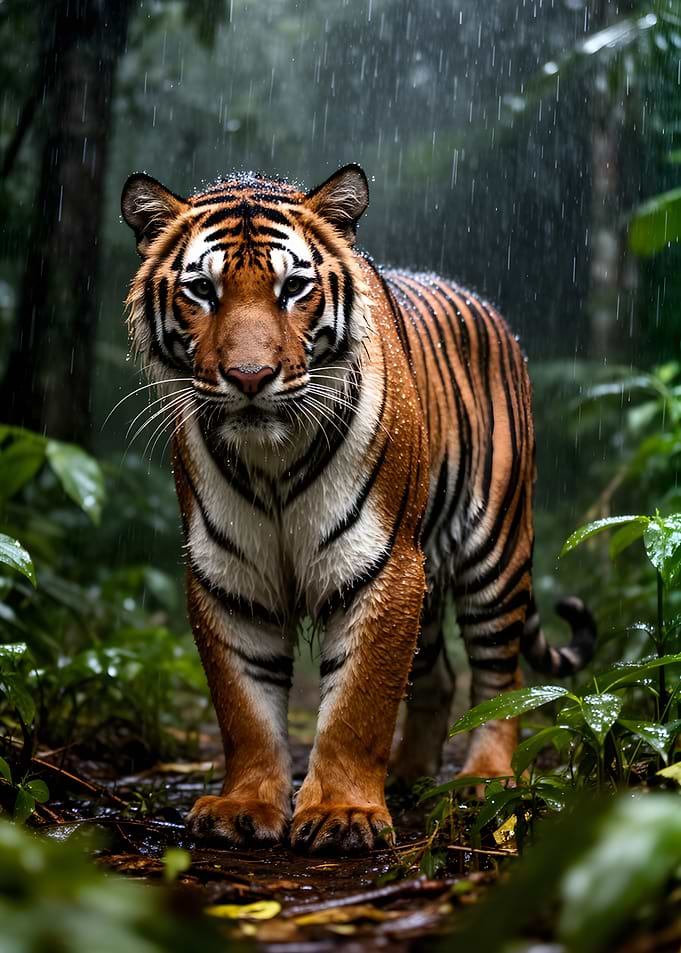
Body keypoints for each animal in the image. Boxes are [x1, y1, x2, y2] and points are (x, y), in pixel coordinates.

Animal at [121, 163, 596, 855]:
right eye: (203, 290)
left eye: (293, 288)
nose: (250, 376)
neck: (272, 461)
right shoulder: (228, 577)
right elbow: (245, 708)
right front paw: (243, 806)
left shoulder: (382, 567)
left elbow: (358, 703)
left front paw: (343, 813)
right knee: (438, 677)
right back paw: (408, 777)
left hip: (494, 553)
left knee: (498, 681)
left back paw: (484, 781)